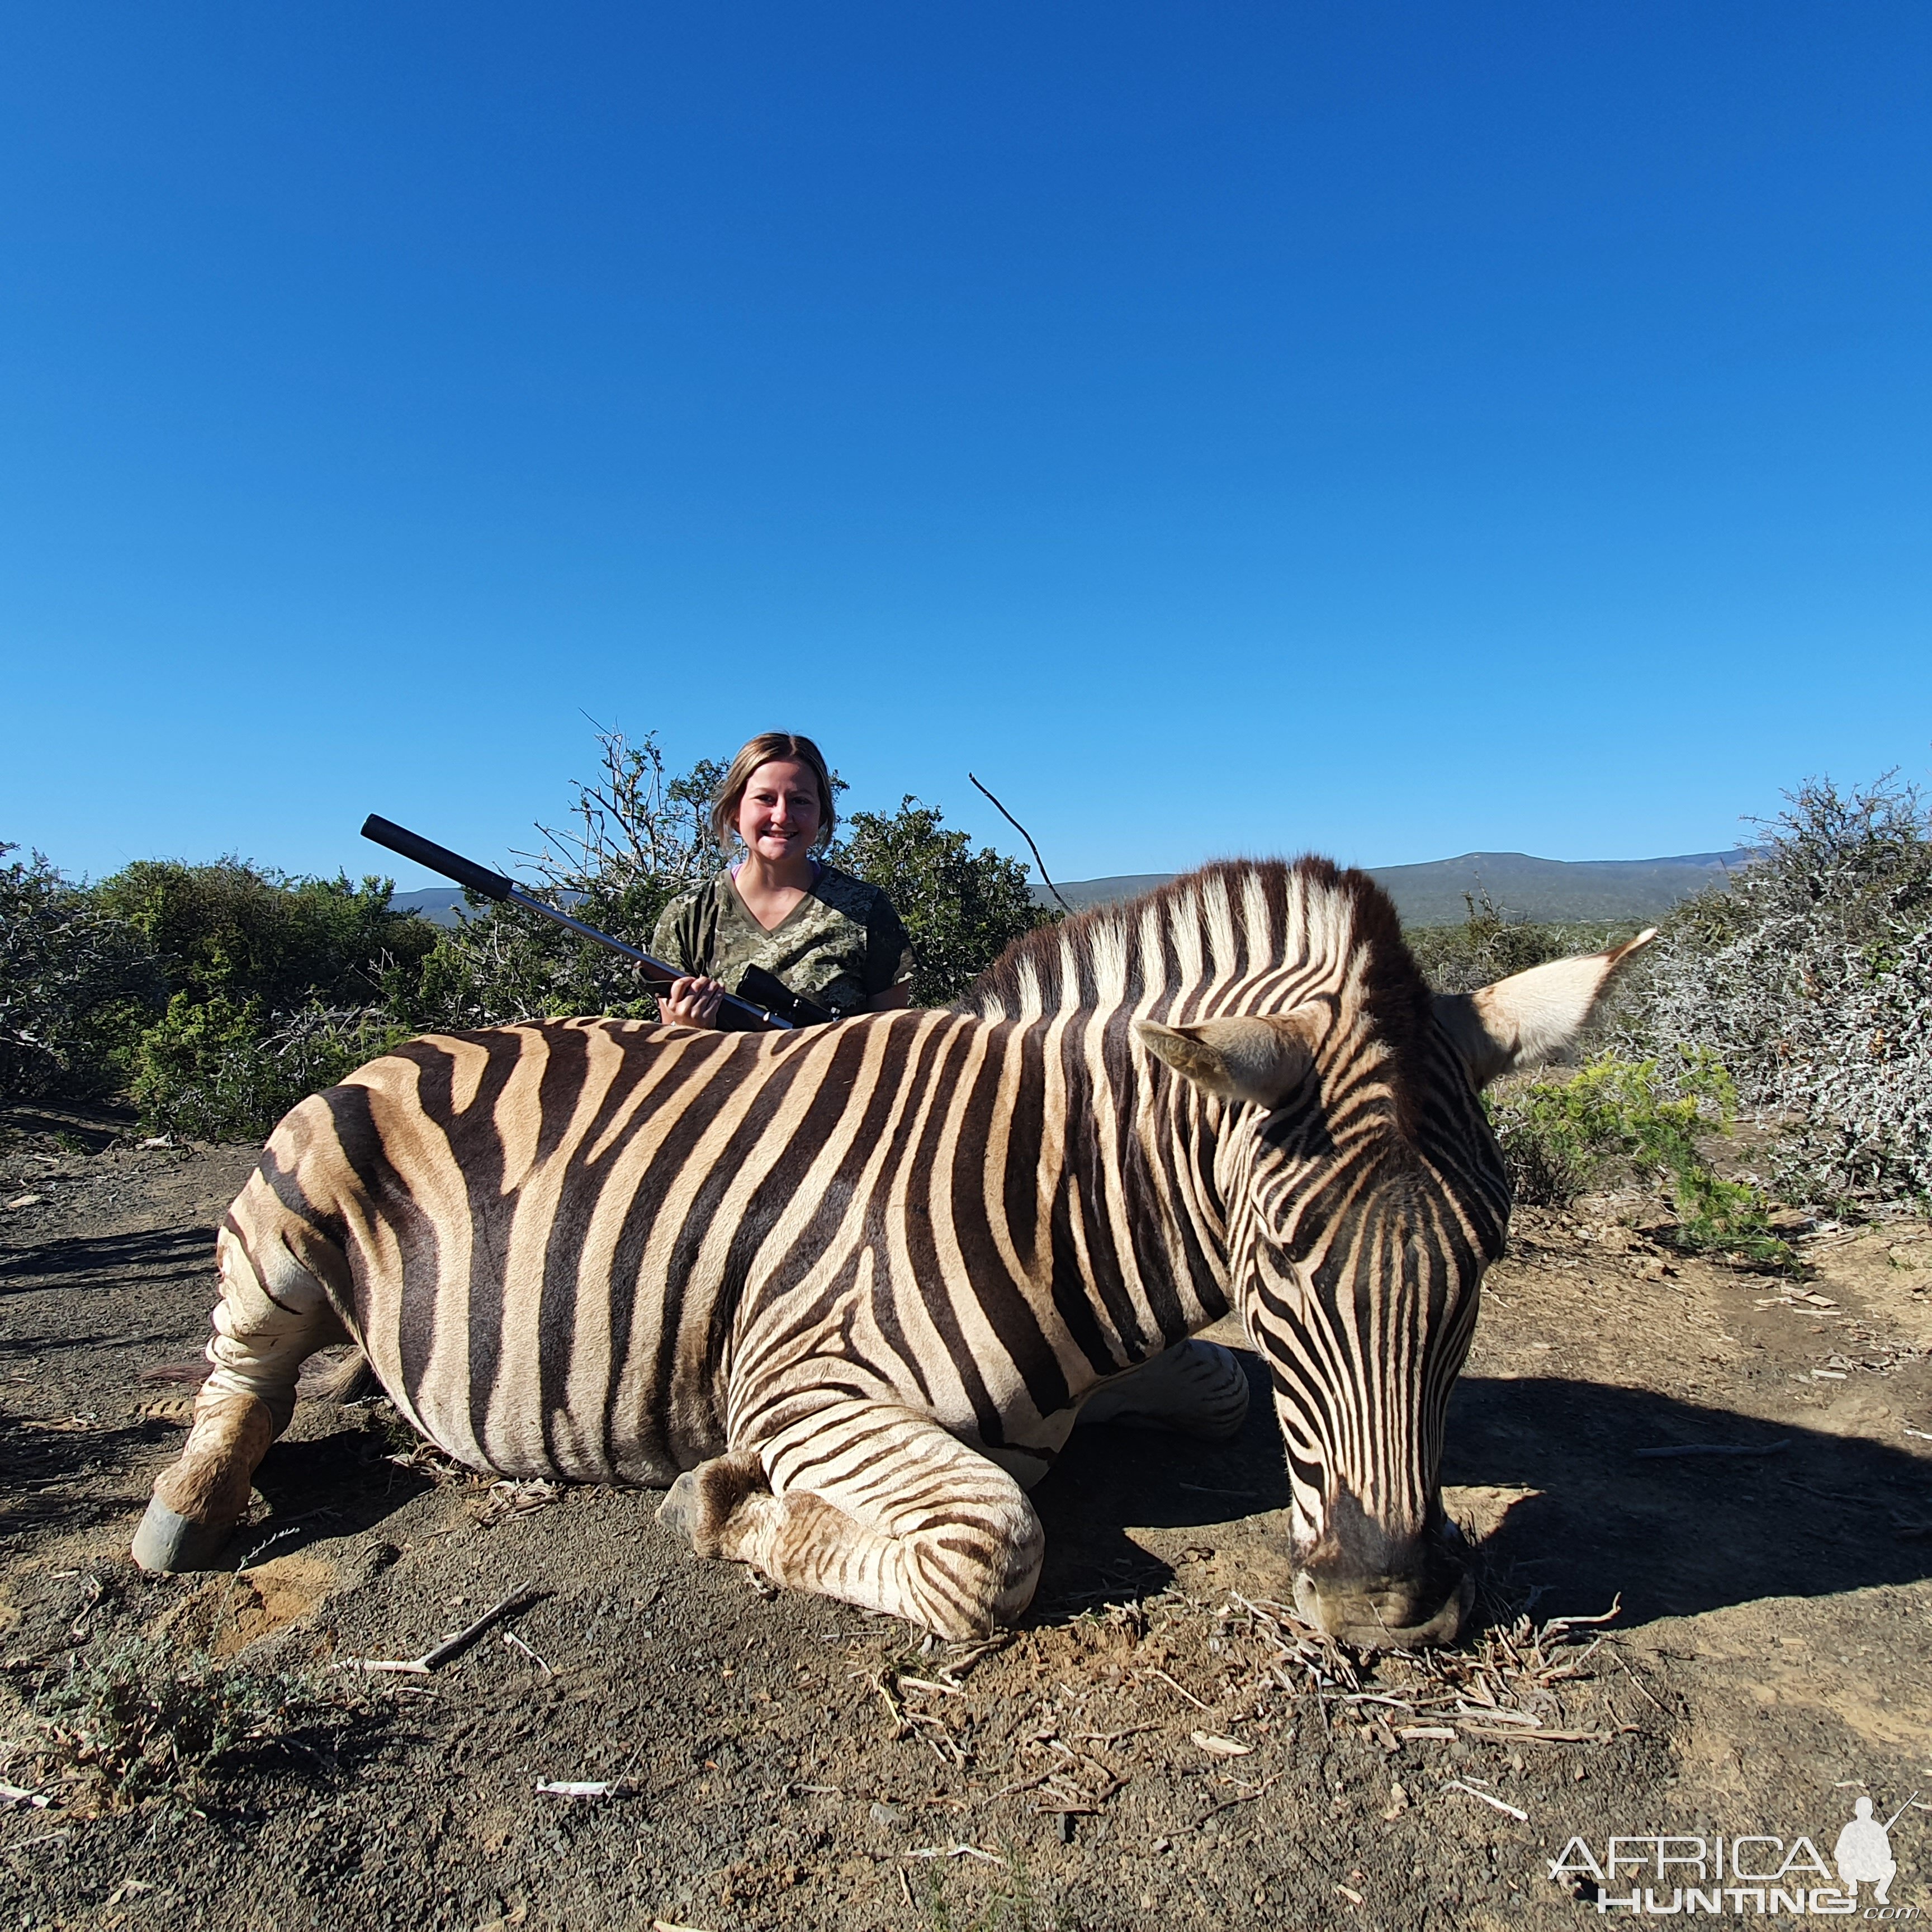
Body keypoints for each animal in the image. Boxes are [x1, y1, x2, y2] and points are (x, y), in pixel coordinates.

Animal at [132, 861, 1646, 1646]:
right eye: (1275, 1258)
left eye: (1487, 1253)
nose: (1384, 1604)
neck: (1053, 1194)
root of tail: (414, 1039)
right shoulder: (800, 1383)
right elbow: (991, 1546)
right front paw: (717, 1503)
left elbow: (1217, 1386)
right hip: (283, 1220)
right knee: (239, 1370)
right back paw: (188, 1507)